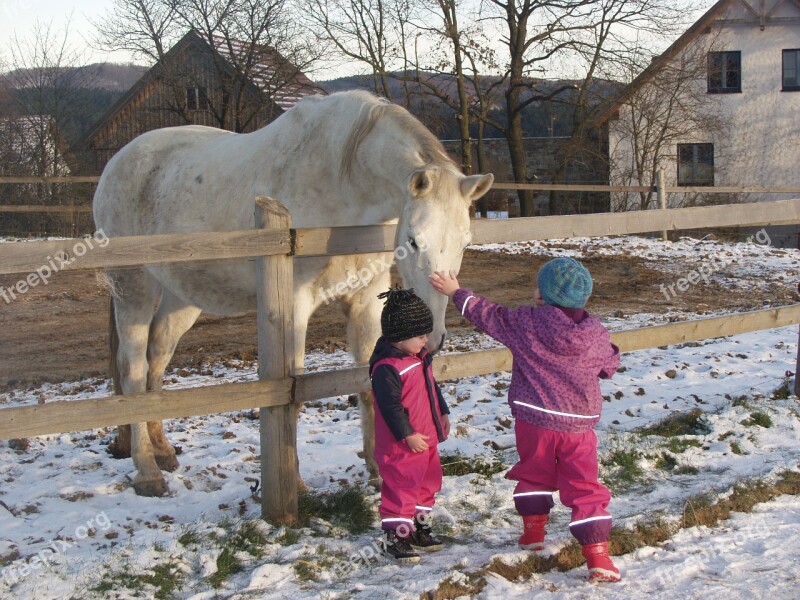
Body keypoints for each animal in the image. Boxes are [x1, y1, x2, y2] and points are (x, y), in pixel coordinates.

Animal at [94, 88, 494, 492]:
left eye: (465, 243)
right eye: (413, 240)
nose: (432, 337)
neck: (343, 183)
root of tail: (117, 162)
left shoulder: (366, 300)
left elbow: (369, 380)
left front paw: (379, 473)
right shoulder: (295, 306)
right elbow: (294, 392)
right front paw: (297, 486)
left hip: (181, 298)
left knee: (156, 360)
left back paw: (163, 450)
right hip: (134, 287)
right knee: (133, 370)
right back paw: (148, 471)